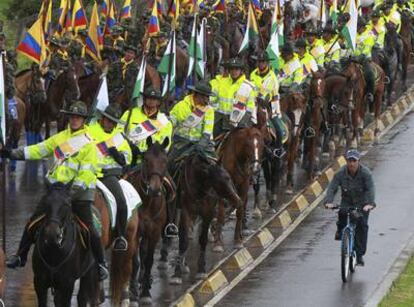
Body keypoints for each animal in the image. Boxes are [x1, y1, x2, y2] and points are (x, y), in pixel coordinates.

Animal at [168, 148, 239, 286]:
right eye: (222, 180)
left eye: (228, 177)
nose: (237, 200)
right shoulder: (185, 211)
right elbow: (183, 241)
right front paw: (177, 273)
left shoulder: (208, 212)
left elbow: (202, 239)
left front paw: (201, 270)